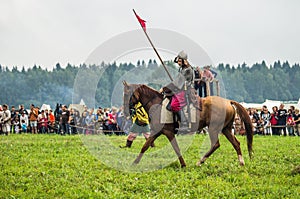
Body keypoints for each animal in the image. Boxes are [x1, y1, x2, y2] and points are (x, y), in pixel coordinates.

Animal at [123, 81, 254, 167]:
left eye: (127, 94)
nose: (125, 112)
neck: (157, 105)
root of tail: (228, 102)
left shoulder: (167, 132)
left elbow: (175, 148)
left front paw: (183, 164)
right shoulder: (157, 132)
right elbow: (145, 146)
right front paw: (135, 162)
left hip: (213, 128)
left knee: (215, 144)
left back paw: (200, 161)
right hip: (226, 129)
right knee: (236, 143)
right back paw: (241, 162)